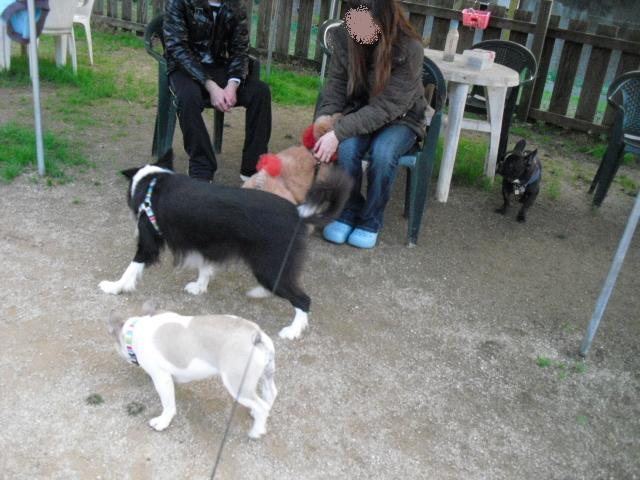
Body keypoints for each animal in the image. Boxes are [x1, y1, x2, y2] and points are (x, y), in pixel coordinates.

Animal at [99, 163, 351, 340]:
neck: (152, 183)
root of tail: (298, 213)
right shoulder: (205, 241)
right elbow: (204, 266)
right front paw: (199, 286)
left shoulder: (149, 242)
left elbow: (132, 267)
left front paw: (115, 287)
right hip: (269, 266)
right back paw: (259, 293)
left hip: (268, 266)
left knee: (303, 299)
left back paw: (292, 330)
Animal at [108, 303, 277, 438]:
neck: (135, 330)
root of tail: (255, 333)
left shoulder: (161, 377)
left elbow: (168, 403)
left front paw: (162, 421)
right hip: (265, 375)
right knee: (270, 394)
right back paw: (259, 416)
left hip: (237, 383)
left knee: (261, 406)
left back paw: (256, 431)